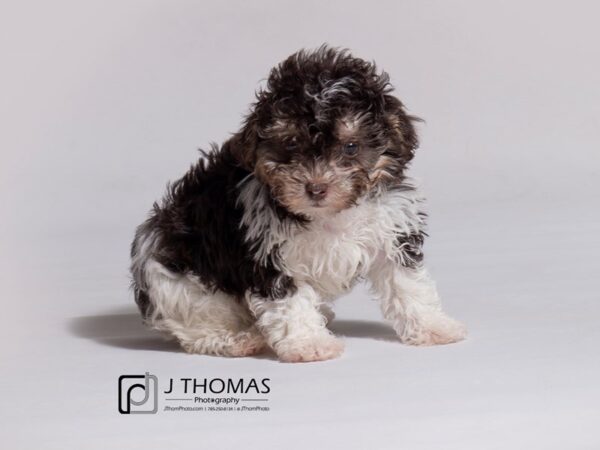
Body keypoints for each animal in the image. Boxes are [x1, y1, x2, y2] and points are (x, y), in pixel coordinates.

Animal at [130, 45, 468, 362]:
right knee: (197, 325)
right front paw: (310, 344)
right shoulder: (270, 251)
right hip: (176, 284)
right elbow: (289, 301)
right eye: (292, 143)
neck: (330, 216)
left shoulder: (391, 230)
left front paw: (434, 327)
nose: (316, 188)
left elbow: (408, 283)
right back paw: (237, 339)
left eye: (350, 147)